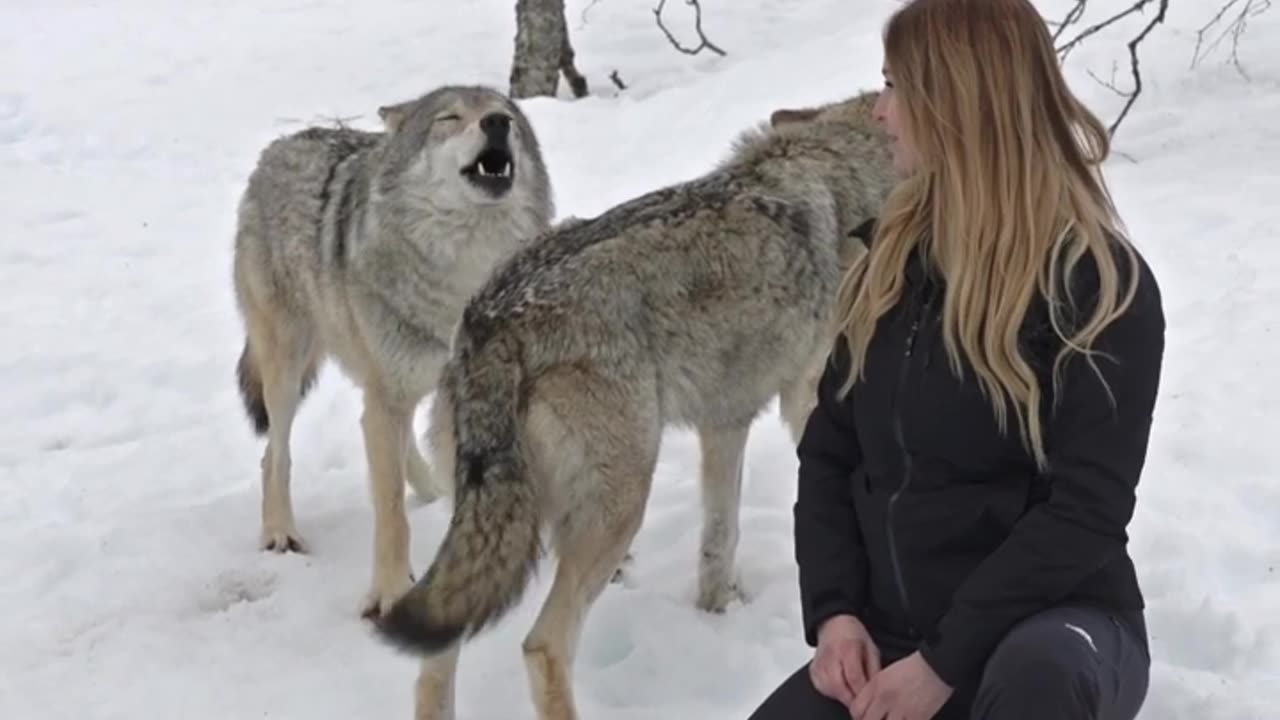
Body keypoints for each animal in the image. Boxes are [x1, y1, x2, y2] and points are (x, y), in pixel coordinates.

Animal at [232, 85, 552, 617]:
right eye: (450, 118)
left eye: (505, 114)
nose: (496, 124)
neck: (462, 272)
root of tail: (276, 148)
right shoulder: (388, 399)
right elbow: (391, 514)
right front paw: (389, 593)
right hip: (288, 373)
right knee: (273, 456)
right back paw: (280, 531)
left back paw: (429, 488)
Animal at [371, 90, 890, 717]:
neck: (841, 168)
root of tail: (492, 321)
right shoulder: (808, 404)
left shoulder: (726, 420)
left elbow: (720, 536)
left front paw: (715, 613)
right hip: (621, 507)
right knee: (543, 645)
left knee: (437, 653)